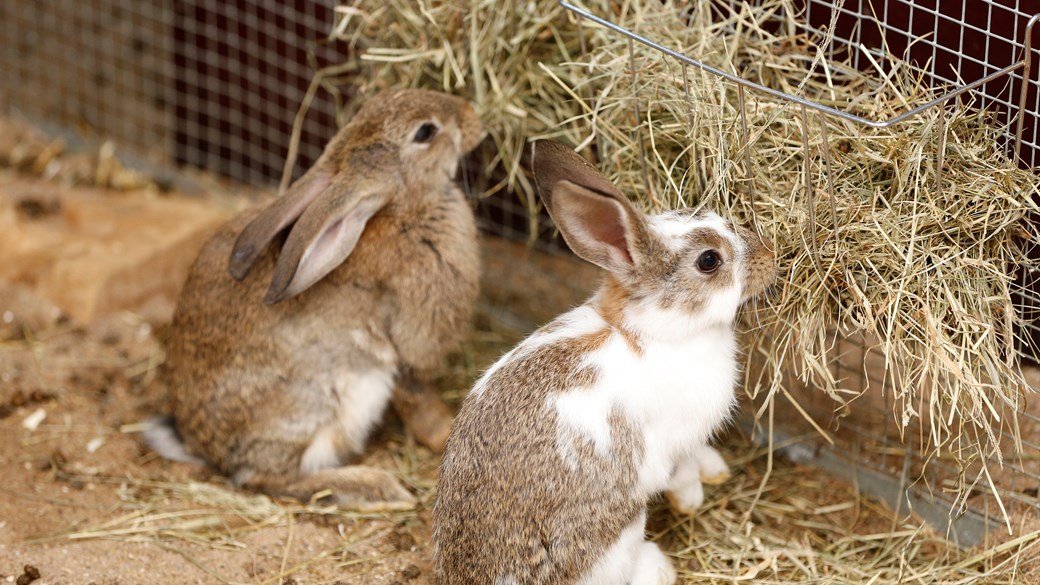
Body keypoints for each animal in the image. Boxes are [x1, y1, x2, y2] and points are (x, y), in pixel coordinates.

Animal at [145, 89, 483, 510]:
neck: (402, 212)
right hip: (310, 406)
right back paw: (374, 485)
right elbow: (419, 398)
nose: (473, 115)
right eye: (426, 132)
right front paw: (443, 435)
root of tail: (204, 447)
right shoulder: (409, 342)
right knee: (264, 479)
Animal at [433, 140, 776, 584]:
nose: (770, 257)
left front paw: (714, 469)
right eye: (709, 261)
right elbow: (680, 470)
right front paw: (691, 499)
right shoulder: (669, 442)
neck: (652, 332)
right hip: (619, 535)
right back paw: (658, 566)